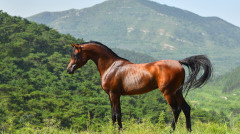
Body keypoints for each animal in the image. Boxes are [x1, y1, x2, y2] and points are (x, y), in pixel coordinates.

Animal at [66, 40, 213, 131]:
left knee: (176, 109)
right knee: (186, 108)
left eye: (75, 54)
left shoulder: (114, 94)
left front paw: (119, 130)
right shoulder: (112, 96)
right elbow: (114, 114)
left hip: (168, 93)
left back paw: (170, 130)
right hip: (178, 92)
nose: (69, 70)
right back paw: (189, 130)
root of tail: (178, 62)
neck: (111, 66)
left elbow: (117, 114)